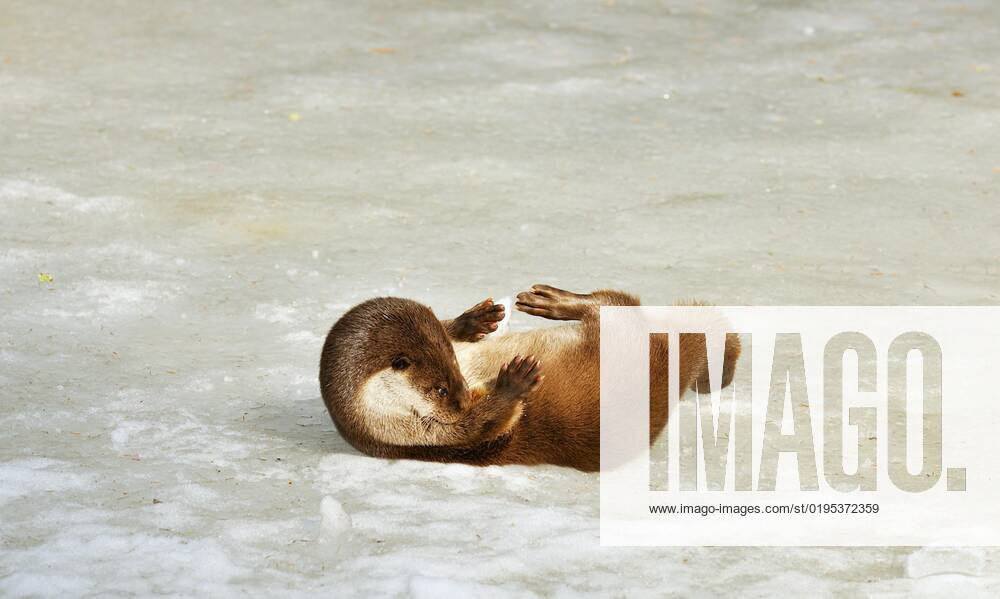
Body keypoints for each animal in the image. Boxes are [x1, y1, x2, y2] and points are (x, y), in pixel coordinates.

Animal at [318, 285, 740, 472]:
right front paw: (514, 384)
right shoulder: (423, 433)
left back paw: (549, 300)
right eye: (439, 388)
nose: (461, 399)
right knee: (615, 301)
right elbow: (486, 424)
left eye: (454, 367)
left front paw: (473, 321)